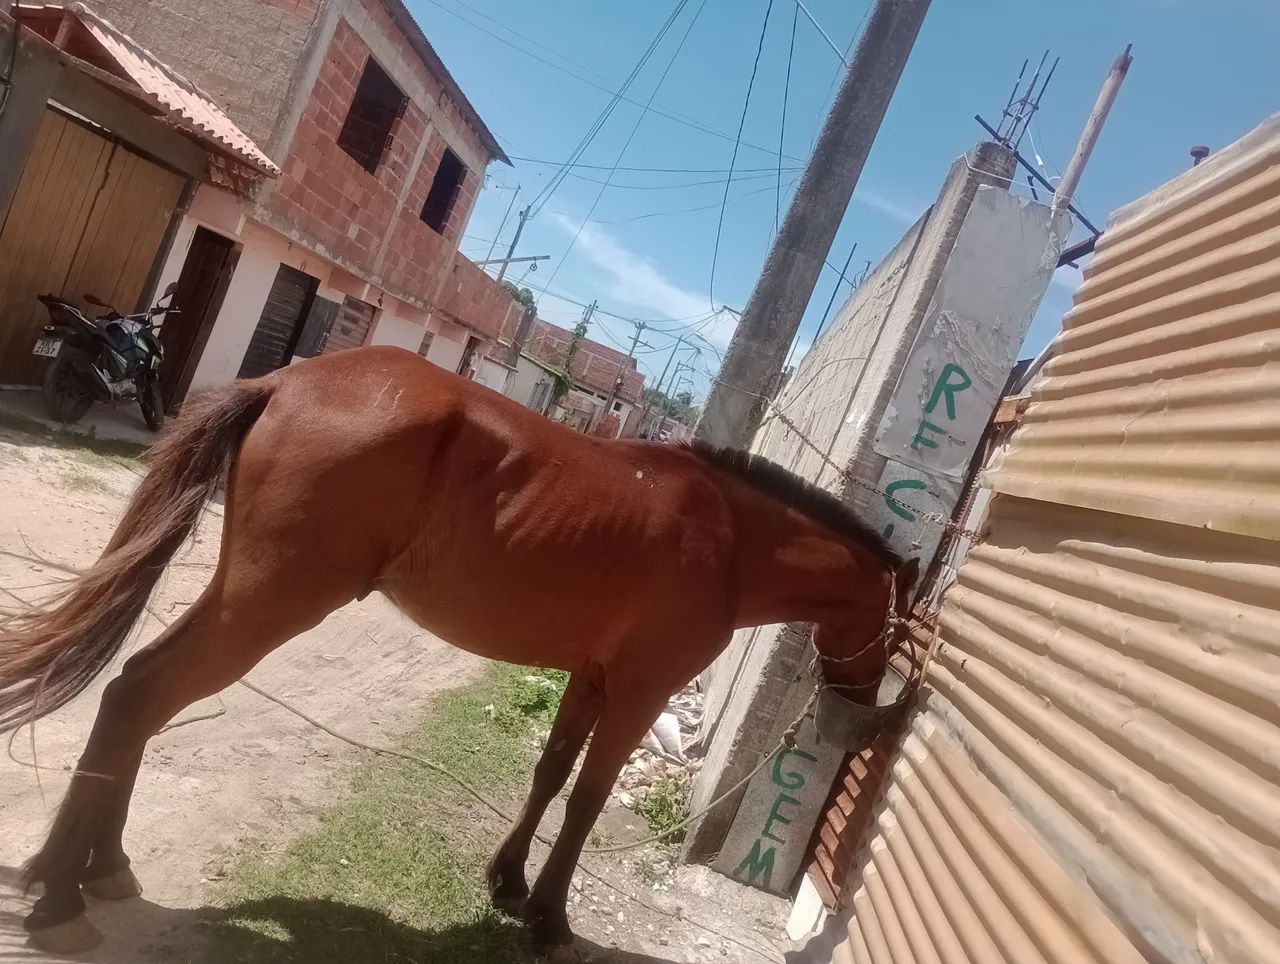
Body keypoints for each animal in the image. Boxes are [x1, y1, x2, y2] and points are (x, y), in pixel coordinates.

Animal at [0, 345, 915, 956]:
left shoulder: (590, 679)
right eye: (898, 632)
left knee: (139, 695)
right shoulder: (640, 691)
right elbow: (586, 802)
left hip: (244, 592)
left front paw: (507, 885)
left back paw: (98, 868)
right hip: (272, 603)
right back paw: (58, 897)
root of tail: (286, 380)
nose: (861, 709)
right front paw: (549, 918)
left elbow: (549, 774)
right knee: (140, 695)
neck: (728, 538)